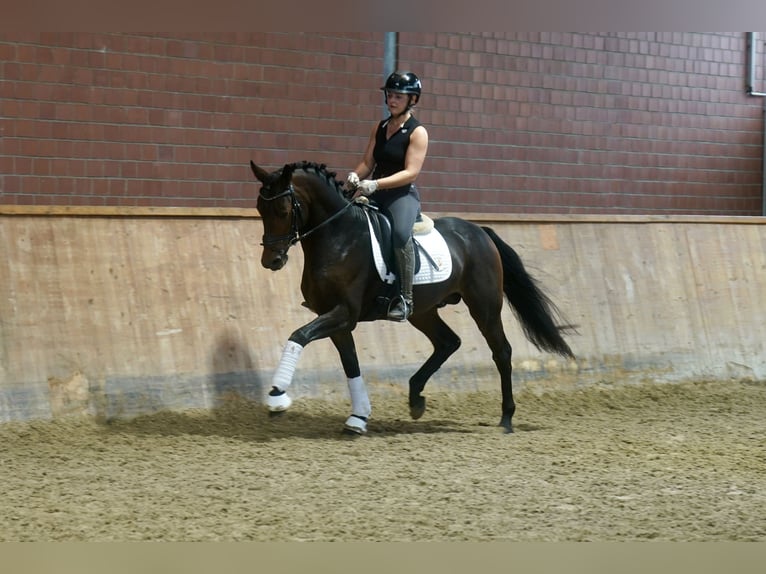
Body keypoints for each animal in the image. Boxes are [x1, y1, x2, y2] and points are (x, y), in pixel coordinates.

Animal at [249, 159, 575, 434]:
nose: (271, 261)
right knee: (448, 342)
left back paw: (506, 418)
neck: (339, 237)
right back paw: (416, 397)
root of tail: (479, 231)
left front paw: (277, 397)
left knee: (501, 352)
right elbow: (350, 364)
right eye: (260, 209)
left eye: (282, 211)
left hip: (484, 307)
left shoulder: (344, 313)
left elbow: (298, 336)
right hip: (423, 311)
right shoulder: (336, 319)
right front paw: (358, 418)